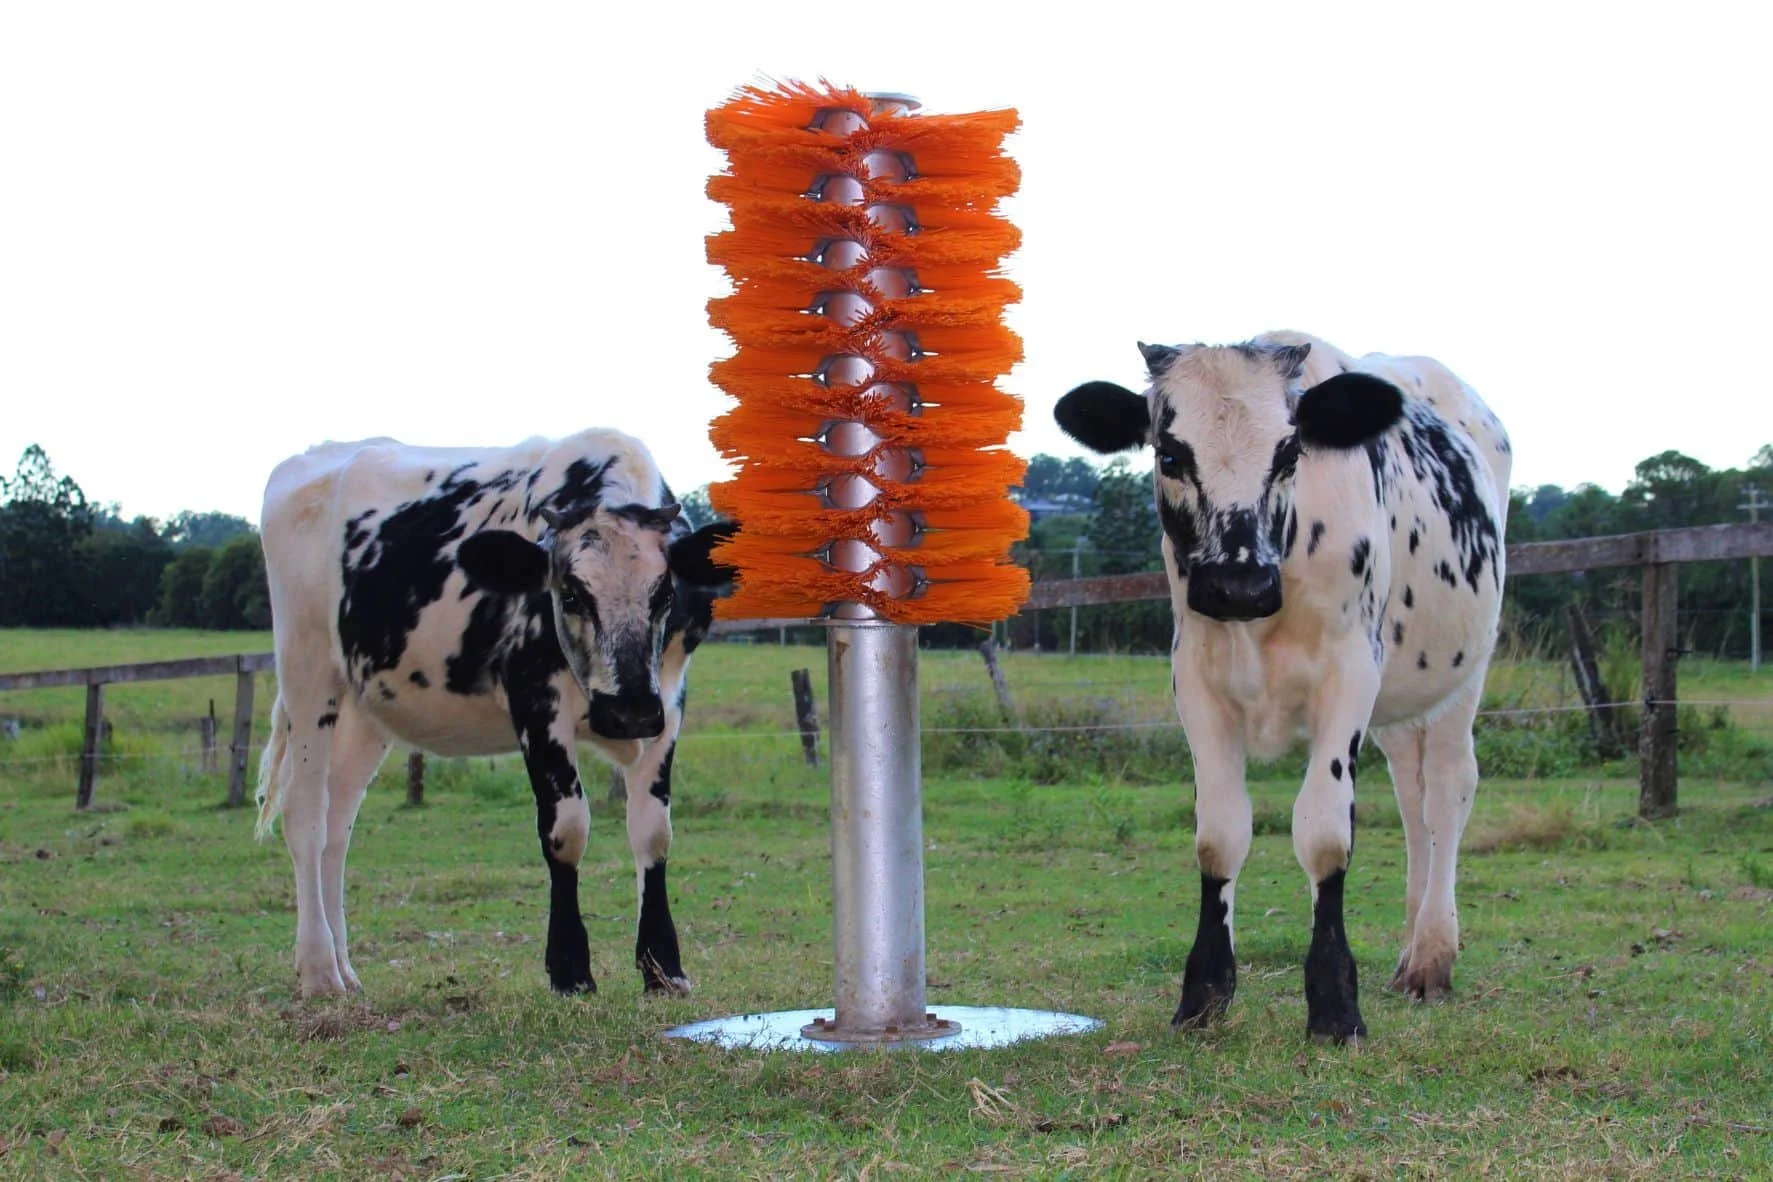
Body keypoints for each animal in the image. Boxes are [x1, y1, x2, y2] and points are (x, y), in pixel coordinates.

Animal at [254, 429, 735, 999]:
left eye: (664, 593)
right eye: (570, 594)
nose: (627, 712)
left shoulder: (670, 700)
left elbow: (654, 833)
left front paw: (663, 968)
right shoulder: (535, 699)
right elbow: (566, 829)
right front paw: (570, 969)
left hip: (366, 705)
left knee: (337, 824)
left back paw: (346, 969)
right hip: (307, 673)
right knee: (305, 815)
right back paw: (320, 970)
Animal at [1054, 332, 1511, 1042]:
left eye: (1291, 451)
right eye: (1169, 454)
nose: (1237, 585)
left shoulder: (1351, 672)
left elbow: (1324, 834)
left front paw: (1335, 1004)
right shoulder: (1197, 678)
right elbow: (1219, 834)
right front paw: (1204, 994)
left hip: (1463, 671)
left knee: (1447, 790)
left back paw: (1432, 957)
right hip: (1399, 697)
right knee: (1412, 798)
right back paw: (1410, 946)